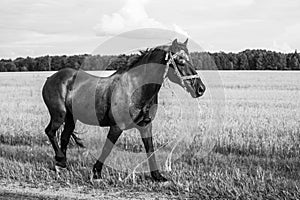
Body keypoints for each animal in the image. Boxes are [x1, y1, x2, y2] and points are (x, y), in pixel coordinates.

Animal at [42, 38, 205, 182]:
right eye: (180, 61)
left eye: (190, 59)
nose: (201, 88)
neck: (136, 89)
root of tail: (51, 78)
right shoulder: (117, 126)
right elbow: (107, 148)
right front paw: (96, 173)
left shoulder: (145, 126)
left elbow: (150, 149)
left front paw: (158, 176)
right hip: (59, 115)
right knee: (50, 132)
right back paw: (60, 160)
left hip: (71, 118)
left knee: (64, 136)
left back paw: (61, 165)